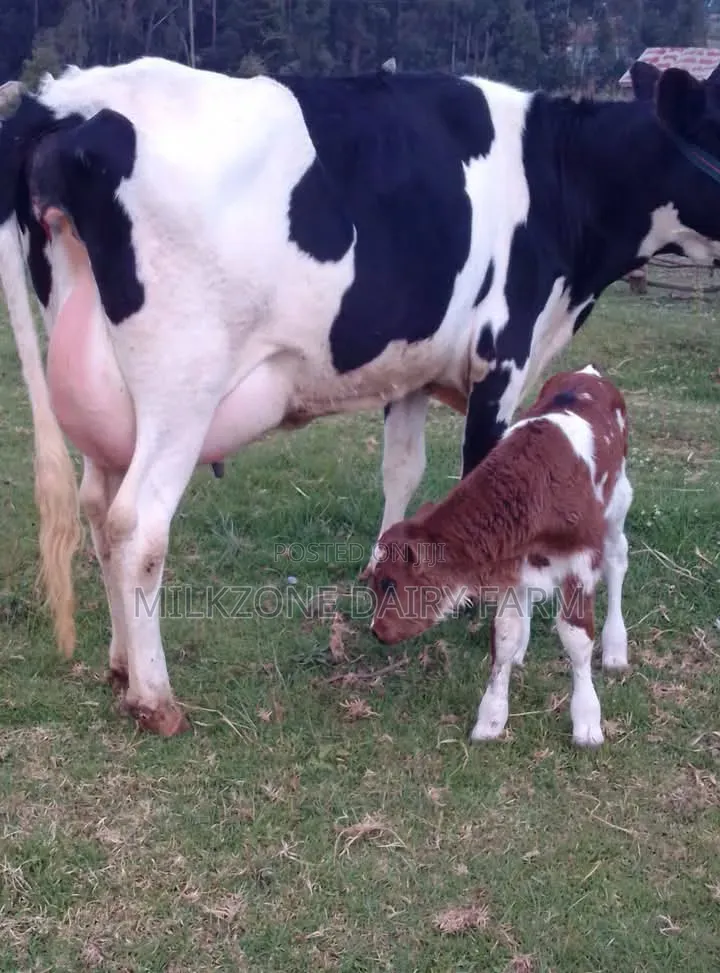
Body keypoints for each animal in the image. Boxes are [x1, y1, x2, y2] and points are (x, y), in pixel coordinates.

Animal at [367, 365, 632, 748]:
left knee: (617, 565)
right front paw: (491, 719)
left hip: (617, 506)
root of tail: (587, 373)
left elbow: (576, 639)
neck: (535, 484)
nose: (375, 631)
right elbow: (504, 638)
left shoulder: (581, 560)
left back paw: (615, 649)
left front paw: (587, 722)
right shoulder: (509, 564)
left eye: (389, 584)